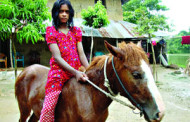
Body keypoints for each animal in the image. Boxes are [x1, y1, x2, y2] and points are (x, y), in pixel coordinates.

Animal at [14, 41, 165, 121]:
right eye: (136, 74)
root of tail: (25, 71)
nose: (160, 113)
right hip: (24, 109)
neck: (90, 97)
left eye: (150, 70)